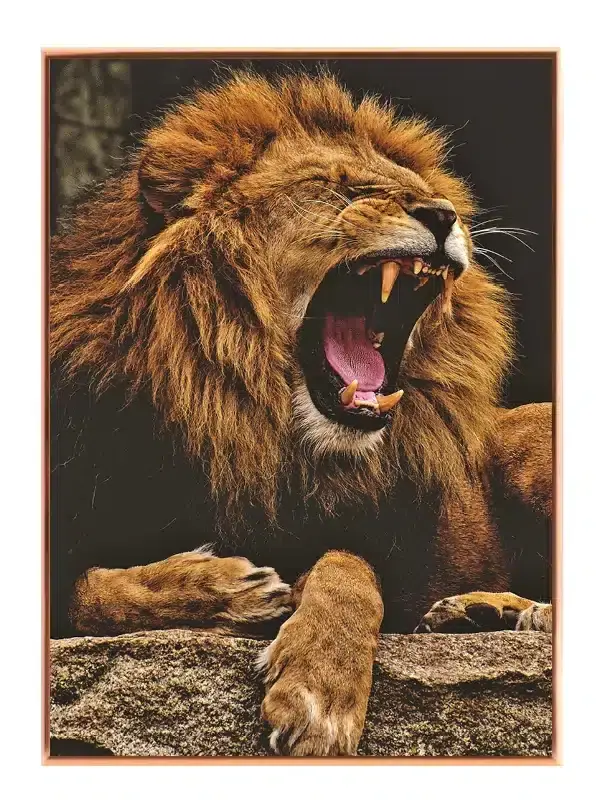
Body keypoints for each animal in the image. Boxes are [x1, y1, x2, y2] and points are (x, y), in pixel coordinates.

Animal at [50, 71, 553, 757]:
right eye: (337, 185)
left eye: (432, 195)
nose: (443, 215)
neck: (252, 427)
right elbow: (88, 594)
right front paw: (230, 588)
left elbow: (347, 565)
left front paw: (319, 692)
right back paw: (474, 611)